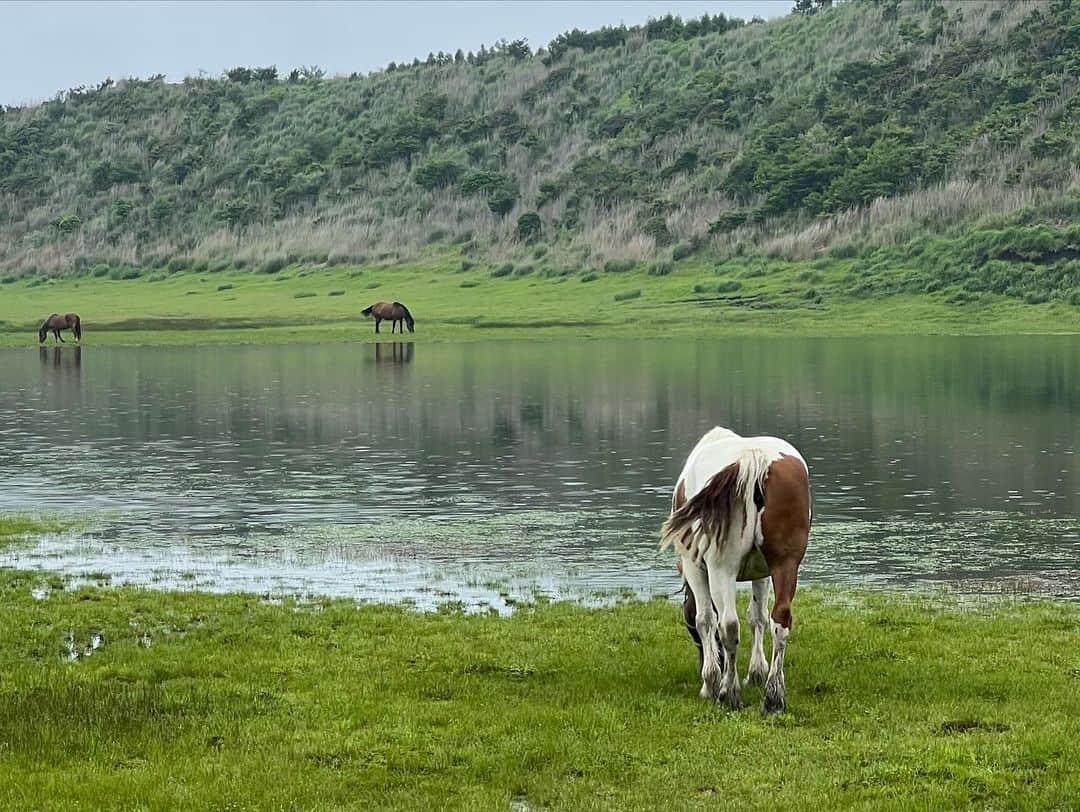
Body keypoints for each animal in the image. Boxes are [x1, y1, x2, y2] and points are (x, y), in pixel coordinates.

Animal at [656, 427, 812, 712]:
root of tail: (755, 458)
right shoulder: (764, 572)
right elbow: (758, 617)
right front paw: (757, 672)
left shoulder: (695, 567)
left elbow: (705, 619)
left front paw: (710, 681)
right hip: (786, 563)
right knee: (780, 619)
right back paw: (774, 696)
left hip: (721, 569)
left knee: (728, 625)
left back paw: (728, 692)